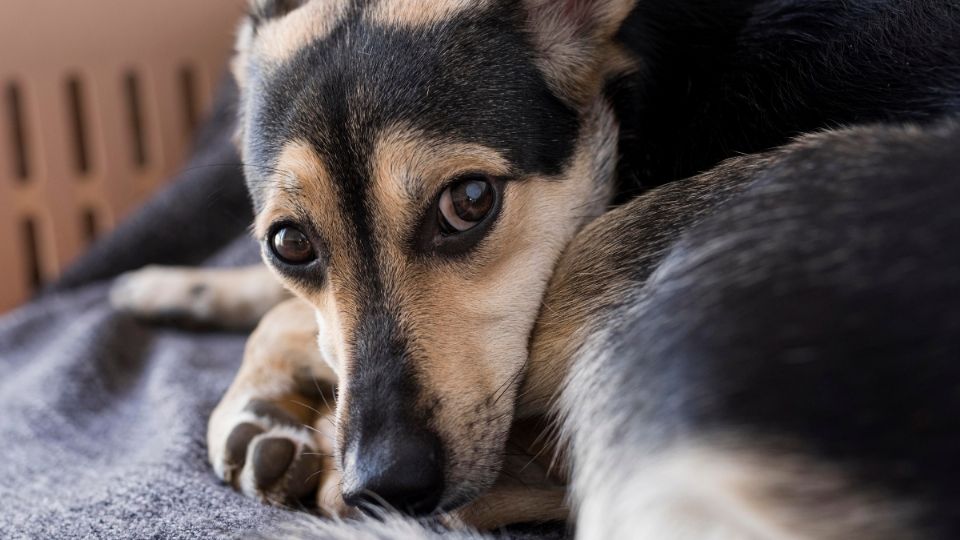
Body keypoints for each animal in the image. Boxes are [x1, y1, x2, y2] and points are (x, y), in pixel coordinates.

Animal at [114, 0, 960, 536]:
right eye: (289, 243)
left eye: (470, 201)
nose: (384, 483)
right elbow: (281, 302)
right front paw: (171, 285)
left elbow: (284, 316)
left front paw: (251, 399)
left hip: (650, 238)